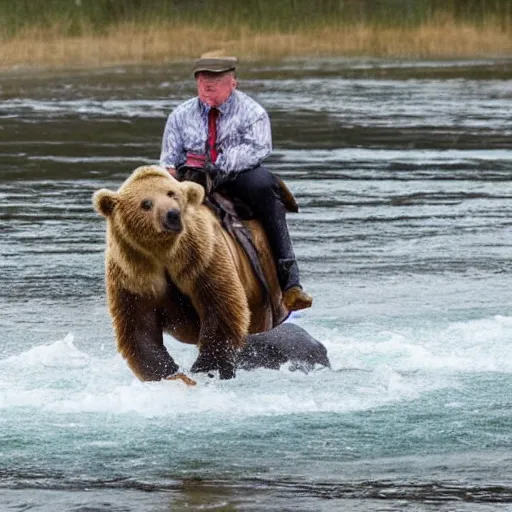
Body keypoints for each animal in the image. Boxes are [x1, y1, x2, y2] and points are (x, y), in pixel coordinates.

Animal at [94, 164, 290, 380]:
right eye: (146, 203)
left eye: (172, 193)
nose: (172, 214)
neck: (164, 254)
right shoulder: (132, 274)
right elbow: (138, 328)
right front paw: (169, 373)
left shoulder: (202, 259)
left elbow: (221, 309)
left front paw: (207, 367)